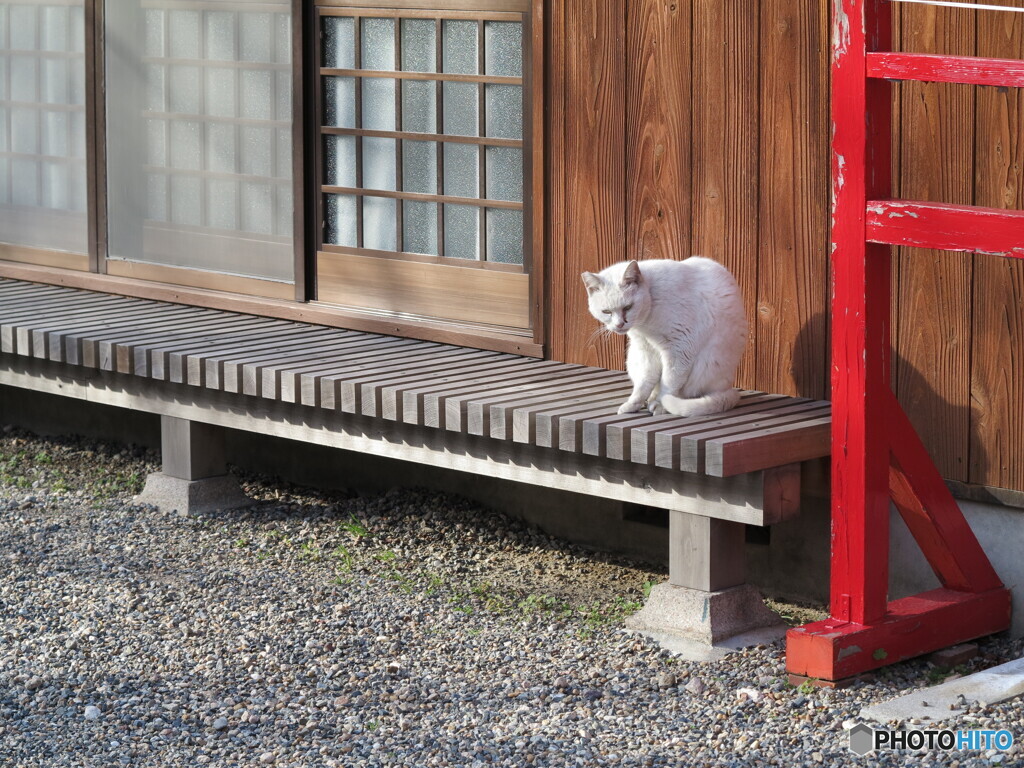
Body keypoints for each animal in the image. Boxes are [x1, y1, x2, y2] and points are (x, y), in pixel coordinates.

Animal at [585, 259, 745, 417]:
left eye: (628, 307)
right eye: (606, 312)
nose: (619, 324)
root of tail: (727, 388)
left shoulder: (680, 349)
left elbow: (669, 383)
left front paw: (660, 405)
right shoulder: (646, 350)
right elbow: (644, 383)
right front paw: (633, 405)